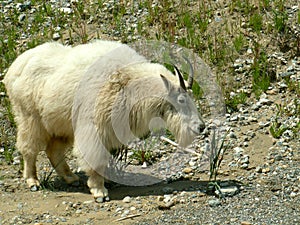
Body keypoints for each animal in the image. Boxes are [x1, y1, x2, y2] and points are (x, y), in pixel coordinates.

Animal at [4, 40, 206, 202]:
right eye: (181, 100)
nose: (201, 127)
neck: (128, 83)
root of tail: (13, 69)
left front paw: (106, 180)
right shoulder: (94, 127)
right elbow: (95, 157)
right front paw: (99, 191)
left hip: (60, 125)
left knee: (54, 150)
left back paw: (71, 178)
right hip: (30, 117)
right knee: (29, 148)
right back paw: (33, 181)